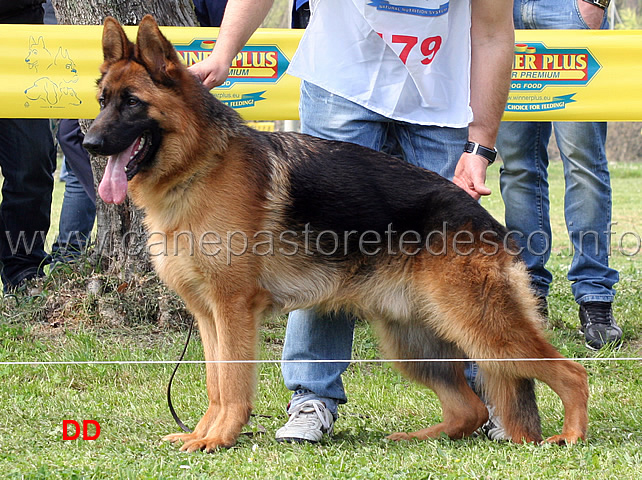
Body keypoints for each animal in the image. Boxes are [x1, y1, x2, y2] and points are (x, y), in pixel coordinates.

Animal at [82, 15, 588, 450]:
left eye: (132, 103)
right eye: (103, 101)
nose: (88, 143)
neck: (199, 165)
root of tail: (484, 220)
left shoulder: (232, 310)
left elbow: (232, 384)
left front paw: (218, 437)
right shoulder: (209, 316)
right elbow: (215, 383)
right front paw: (203, 433)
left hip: (482, 328)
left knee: (571, 374)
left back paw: (570, 437)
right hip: (415, 342)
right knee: (470, 408)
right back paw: (422, 437)